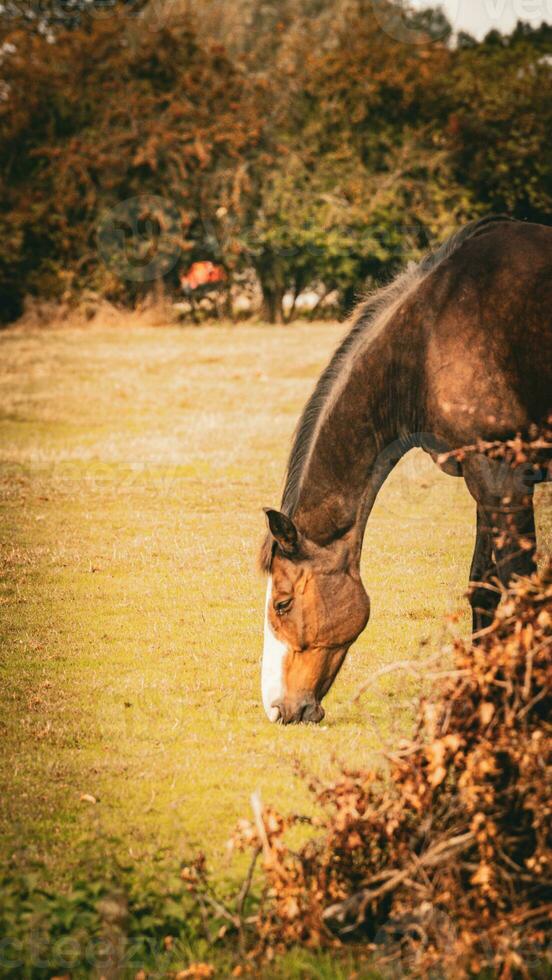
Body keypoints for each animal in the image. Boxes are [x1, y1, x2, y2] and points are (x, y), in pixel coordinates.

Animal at [260, 216, 552, 720]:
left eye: (282, 603)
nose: (276, 708)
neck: (430, 336)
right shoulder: (484, 476)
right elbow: (484, 588)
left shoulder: (504, 477)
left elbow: (517, 589)